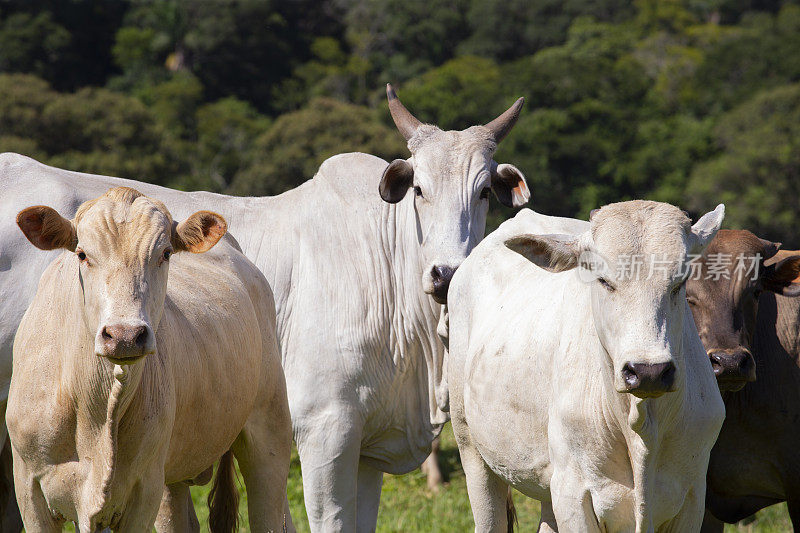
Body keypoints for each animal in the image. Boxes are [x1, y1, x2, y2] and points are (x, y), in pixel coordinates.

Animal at [7, 188, 292, 532]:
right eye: (82, 254)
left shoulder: (142, 492)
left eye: (166, 253)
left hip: (269, 433)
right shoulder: (29, 489)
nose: (125, 335)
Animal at [446, 202, 728, 528]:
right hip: (471, 448)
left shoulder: (693, 495)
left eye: (679, 283)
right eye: (603, 280)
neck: (640, 426)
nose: (648, 372)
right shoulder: (573, 494)